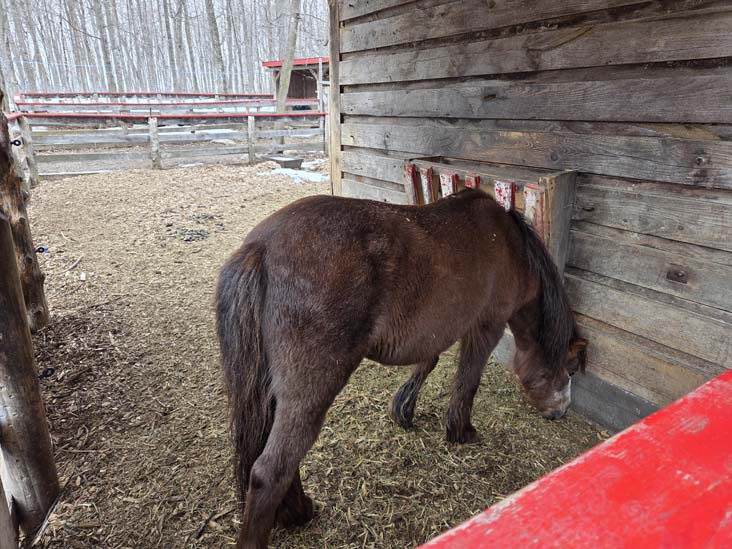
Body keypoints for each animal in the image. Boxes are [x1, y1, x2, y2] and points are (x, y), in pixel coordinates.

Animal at [215, 188, 587, 548]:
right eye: (568, 369)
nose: (561, 411)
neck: (509, 244)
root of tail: (261, 247)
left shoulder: (440, 328)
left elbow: (428, 362)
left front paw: (404, 409)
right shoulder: (486, 328)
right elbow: (467, 382)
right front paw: (461, 430)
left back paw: (298, 510)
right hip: (311, 391)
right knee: (270, 470)